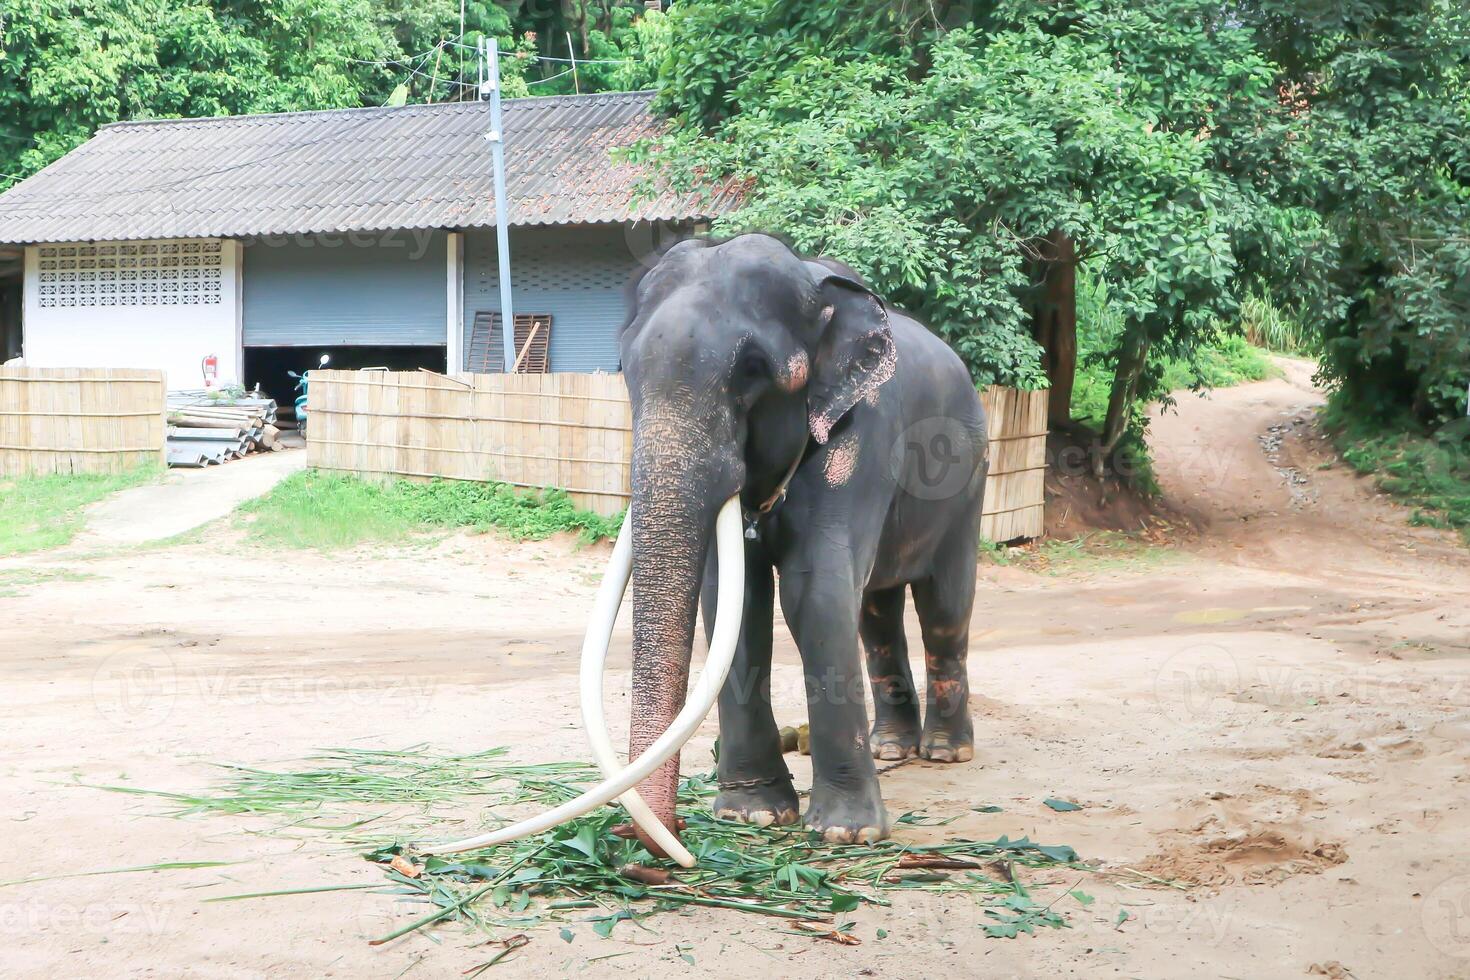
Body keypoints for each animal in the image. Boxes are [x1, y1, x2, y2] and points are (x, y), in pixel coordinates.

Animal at [620, 232, 987, 852]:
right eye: (625, 368)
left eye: (752, 370)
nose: (666, 833)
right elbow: (734, 601)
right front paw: (752, 816)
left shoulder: (863, 436)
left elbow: (812, 592)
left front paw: (847, 833)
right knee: (876, 617)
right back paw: (892, 748)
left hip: (970, 485)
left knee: (943, 607)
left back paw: (945, 752)